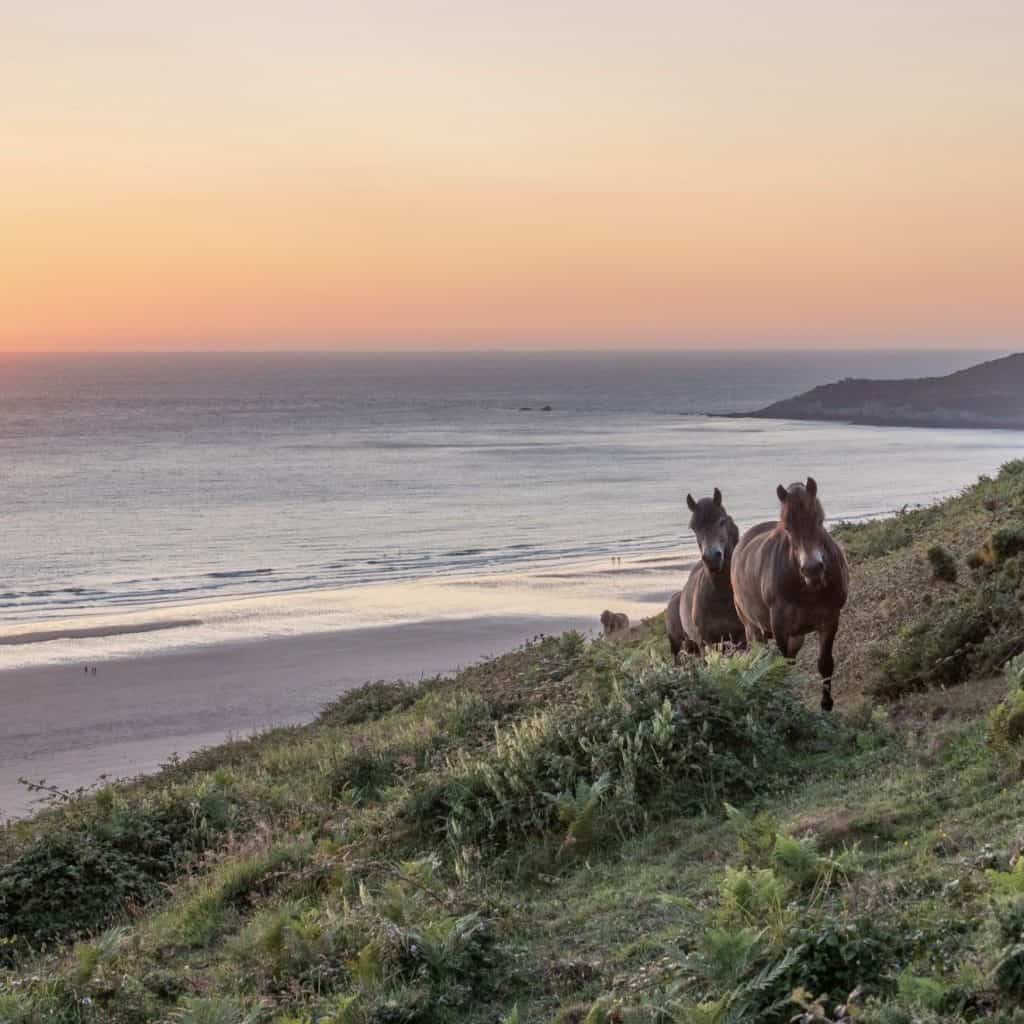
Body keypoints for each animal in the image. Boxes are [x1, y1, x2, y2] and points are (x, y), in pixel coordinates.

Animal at [663, 487, 745, 663]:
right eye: (693, 527)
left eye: (721, 521)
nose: (711, 558)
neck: (722, 596)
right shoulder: (707, 642)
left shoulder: (741, 638)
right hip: (679, 644)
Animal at [733, 479, 851, 712]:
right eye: (787, 527)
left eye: (819, 520)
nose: (812, 569)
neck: (808, 590)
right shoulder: (780, 627)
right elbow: (782, 666)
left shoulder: (830, 619)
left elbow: (825, 663)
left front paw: (826, 705)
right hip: (753, 628)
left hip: (797, 635)